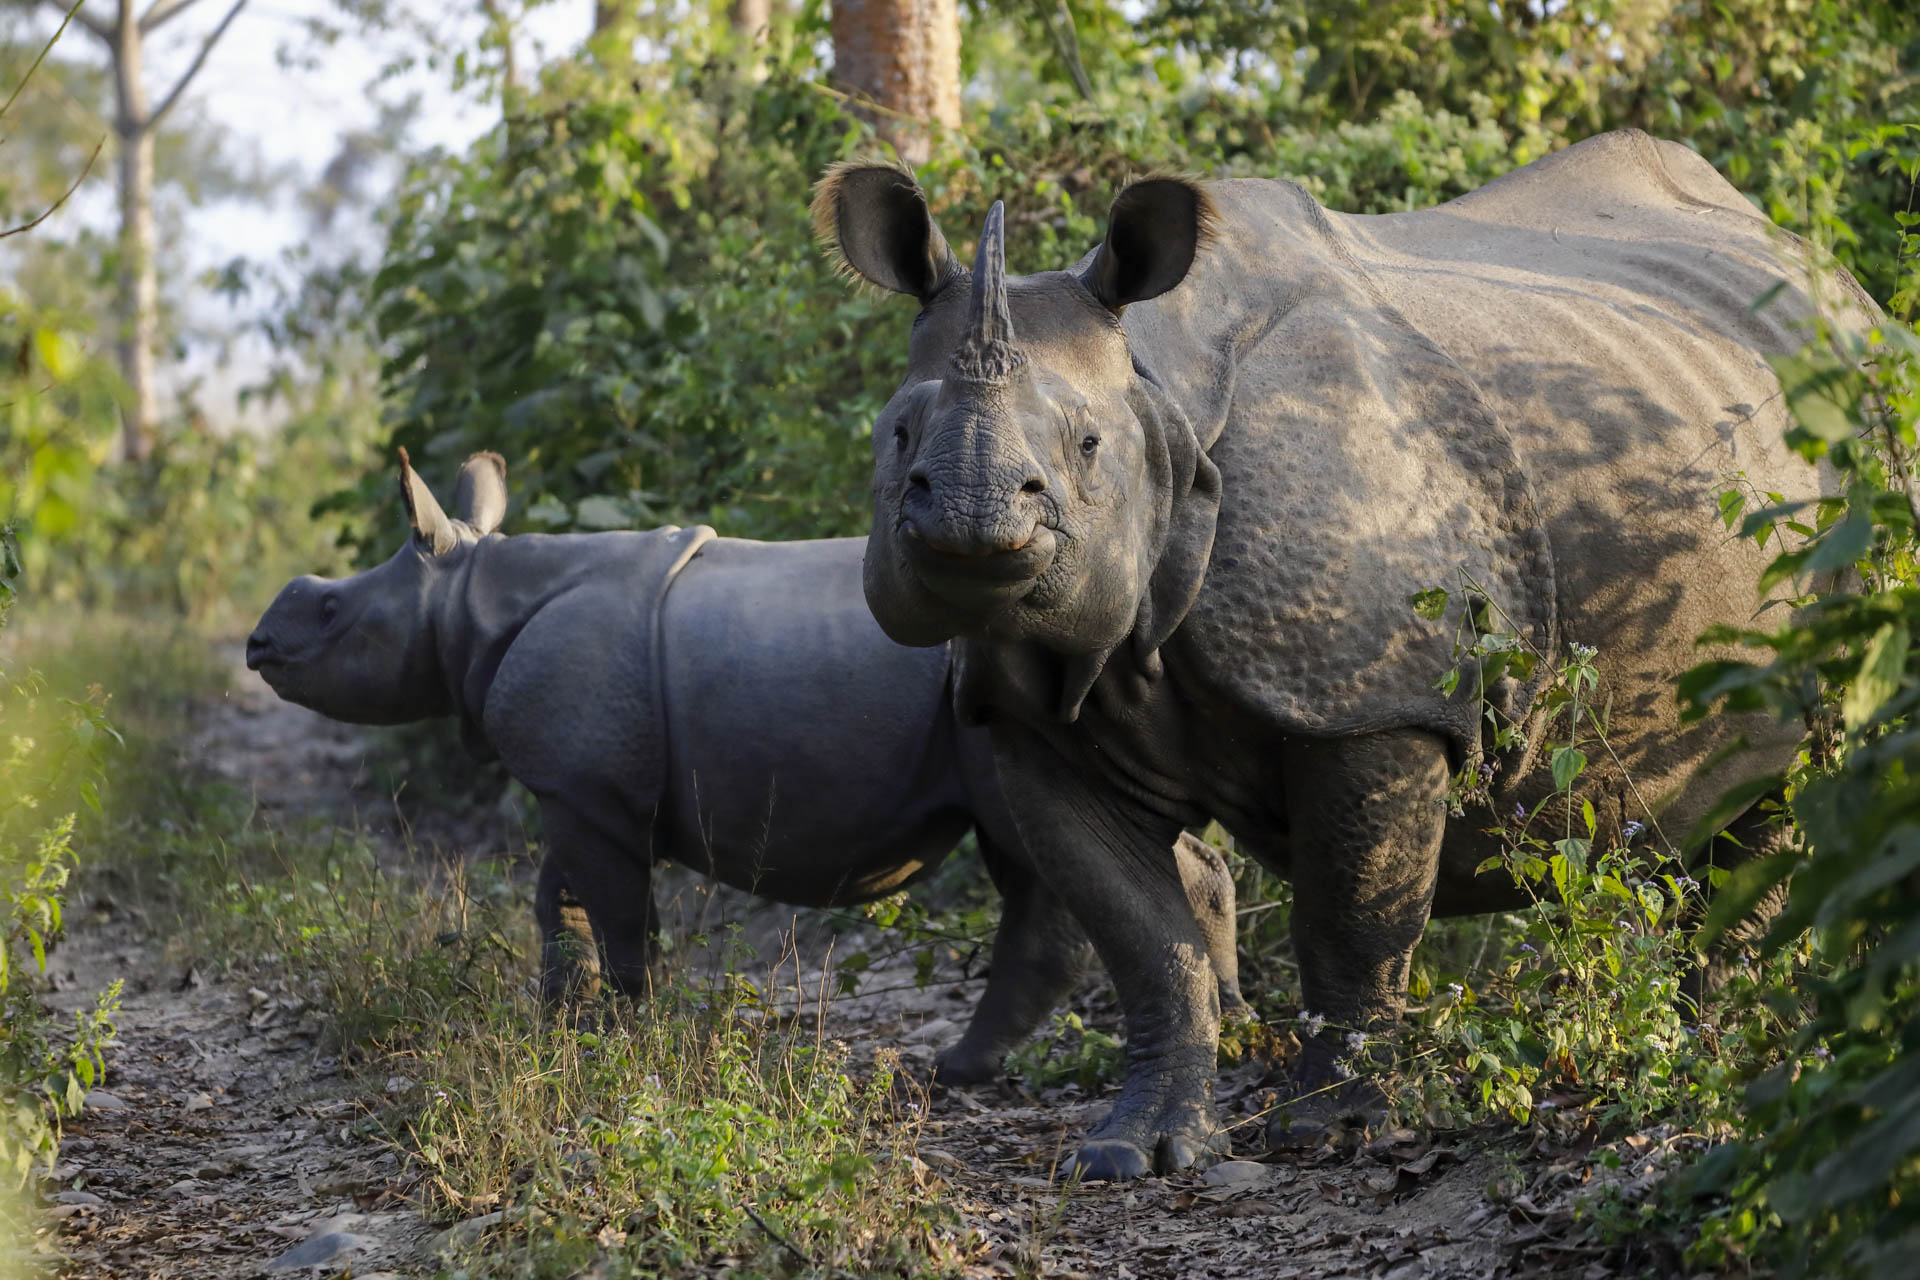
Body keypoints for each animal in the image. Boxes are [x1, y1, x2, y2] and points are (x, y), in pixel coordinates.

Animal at [244, 449, 1246, 1082]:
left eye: (330, 612)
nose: (257, 644)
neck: (464, 598)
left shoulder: (590, 788)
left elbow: (618, 918)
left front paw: (627, 1031)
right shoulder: (580, 785)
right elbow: (558, 905)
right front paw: (562, 1025)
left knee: (1040, 853)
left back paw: (952, 1074)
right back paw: (1228, 1021)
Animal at [813, 129, 1881, 1178]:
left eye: (1086, 447)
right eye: (896, 433)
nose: (969, 516)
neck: (1161, 398)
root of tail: (1843, 287)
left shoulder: (1371, 697)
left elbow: (1354, 916)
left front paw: (1334, 1130)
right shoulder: (1039, 718)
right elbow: (1146, 942)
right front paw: (1130, 1151)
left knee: (1801, 784)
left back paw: (1714, 1062)